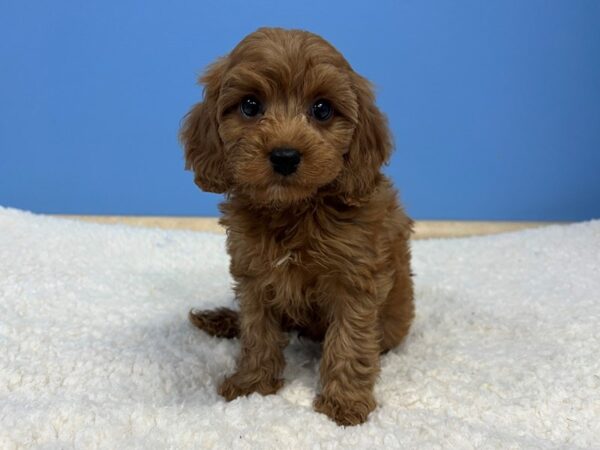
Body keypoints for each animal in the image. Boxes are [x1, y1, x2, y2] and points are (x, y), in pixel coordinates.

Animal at [182, 28, 412, 426]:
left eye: (322, 109)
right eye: (250, 106)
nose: (285, 156)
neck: (293, 210)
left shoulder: (356, 278)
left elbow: (350, 341)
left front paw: (344, 403)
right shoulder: (254, 274)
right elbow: (257, 331)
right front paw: (252, 385)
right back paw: (223, 320)